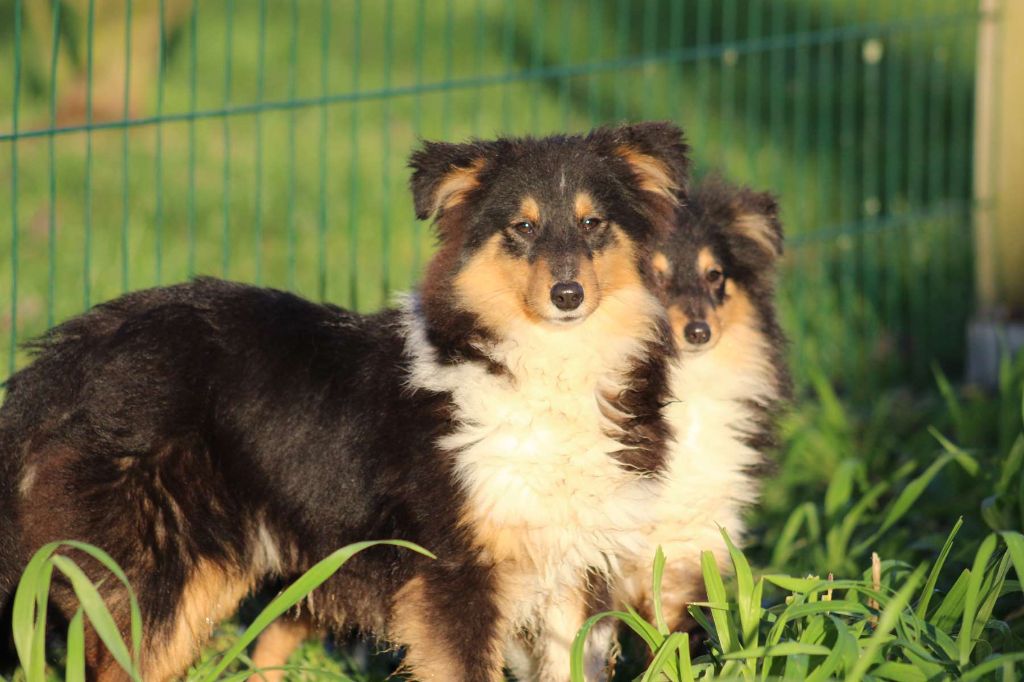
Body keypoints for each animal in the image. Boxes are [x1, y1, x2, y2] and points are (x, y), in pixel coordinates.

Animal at [0, 123, 692, 679]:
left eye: (592, 223)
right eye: (521, 228)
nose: (568, 295)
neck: (539, 366)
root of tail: (67, 354)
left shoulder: (580, 571)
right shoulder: (455, 576)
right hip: (158, 576)